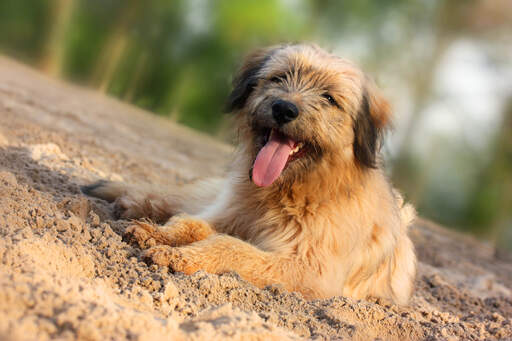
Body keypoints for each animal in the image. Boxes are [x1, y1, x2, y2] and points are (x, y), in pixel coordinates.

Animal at [81, 44, 416, 302]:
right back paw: (123, 197)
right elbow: (191, 224)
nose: (284, 108)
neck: (288, 192)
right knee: (177, 200)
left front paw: (178, 255)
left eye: (329, 98)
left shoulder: (309, 270)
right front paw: (158, 234)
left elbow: (231, 246)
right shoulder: (231, 212)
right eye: (279, 77)